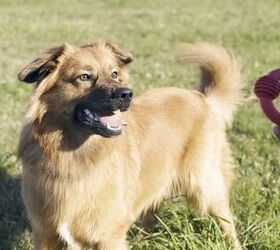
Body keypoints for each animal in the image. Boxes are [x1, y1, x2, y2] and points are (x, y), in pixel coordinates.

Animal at [17, 40, 243, 249]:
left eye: (115, 73)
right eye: (85, 77)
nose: (127, 94)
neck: (73, 157)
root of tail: (202, 98)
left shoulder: (108, 237)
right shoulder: (45, 235)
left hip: (205, 186)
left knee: (227, 221)